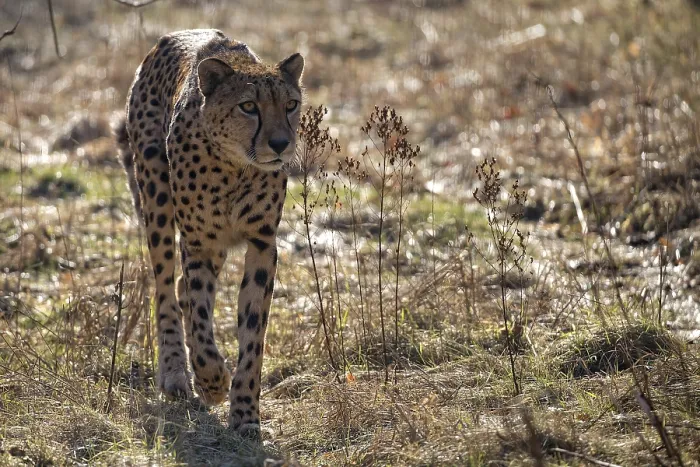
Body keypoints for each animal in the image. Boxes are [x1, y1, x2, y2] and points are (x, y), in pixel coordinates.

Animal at [115, 29, 303, 433]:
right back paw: (175, 374)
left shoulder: (263, 244)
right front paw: (212, 381)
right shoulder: (198, 242)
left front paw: (245, 414)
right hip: (156, 199)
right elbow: (200, 319)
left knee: (180, 287)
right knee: (166, 289)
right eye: (248, 106)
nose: (281, 144)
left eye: (291, 105)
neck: (235, 167)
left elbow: (253, 333)